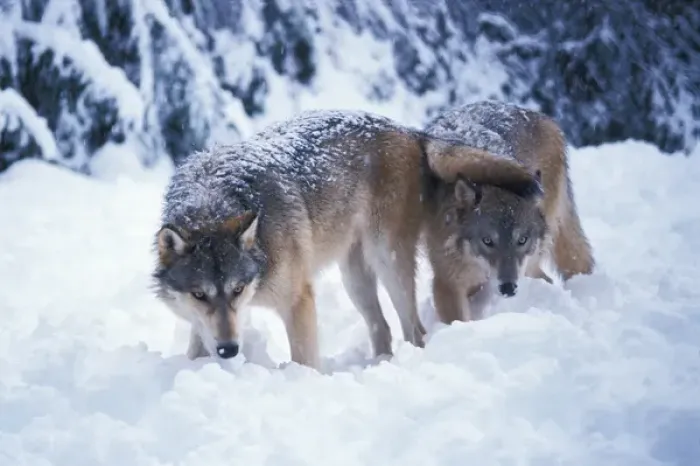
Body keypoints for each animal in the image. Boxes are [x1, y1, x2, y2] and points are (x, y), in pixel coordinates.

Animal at [151, 109, 542, 370]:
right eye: (199, 295)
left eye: (237, 289)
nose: (230, 351)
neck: (213, 202)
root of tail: (410, 131)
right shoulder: (203, 324)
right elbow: (195, 347)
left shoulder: (298, 301)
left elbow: (305, 362)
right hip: (354, 278)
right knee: (382, 328)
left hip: (389, 264)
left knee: (414, 329)